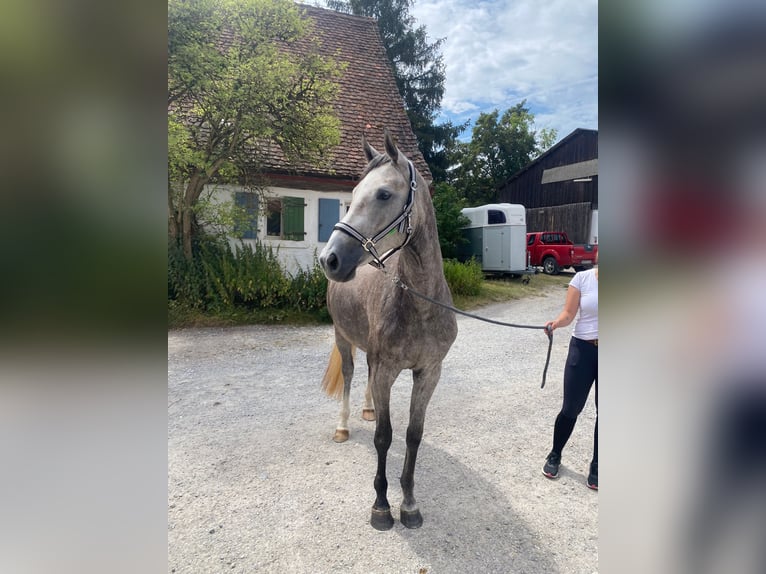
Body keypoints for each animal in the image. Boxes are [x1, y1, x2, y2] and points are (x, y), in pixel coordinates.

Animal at [320, 129, 460, 532]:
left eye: (383, 194)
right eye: (352, 195)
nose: (329, 259)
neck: (420, 304)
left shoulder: (428, 372)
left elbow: (413, 435)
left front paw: (409, 503)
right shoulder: (385, 370)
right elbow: (384, 437)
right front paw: (382, 506)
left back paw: (367, 410)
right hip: (343, 339)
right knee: (351, 376)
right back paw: (344, 425)